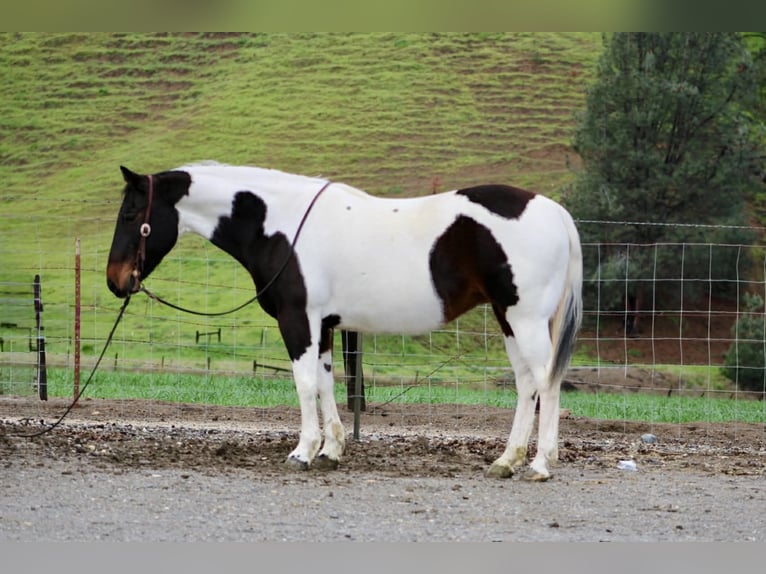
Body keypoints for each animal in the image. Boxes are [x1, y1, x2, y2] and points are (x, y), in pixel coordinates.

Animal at [106, 162, 582, 481]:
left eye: (130, 215)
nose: (116, 281)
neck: (282, 225)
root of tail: (555, 212)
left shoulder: (297, 320)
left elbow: (304, 384)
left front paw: (303, 452)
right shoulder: (325, 326)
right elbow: (326, 383)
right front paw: (331, 451)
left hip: (525, 319)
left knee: (546, 382)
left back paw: (540, 464)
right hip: (508, 319)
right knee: (526, 384)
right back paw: (507, 461)